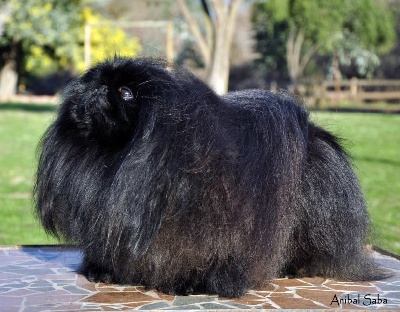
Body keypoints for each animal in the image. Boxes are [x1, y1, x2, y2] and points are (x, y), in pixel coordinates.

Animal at [35, 56, 390, 298]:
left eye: (125, 92)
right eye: (96, 83)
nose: (99, 90)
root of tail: (313, 135)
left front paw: (192, 282)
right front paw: (105, 270)